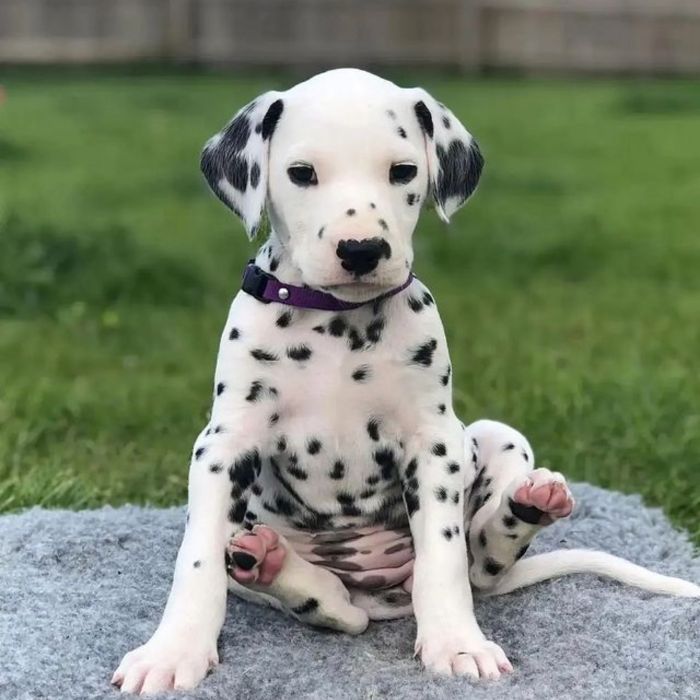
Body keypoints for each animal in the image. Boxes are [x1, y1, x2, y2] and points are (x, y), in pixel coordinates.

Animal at [112, 68, 696, 692]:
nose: (361, 249)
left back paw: (530, 504)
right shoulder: (223, 446)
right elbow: (198, 560)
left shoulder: (432, 444)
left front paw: (456, 643)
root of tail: (377, 592)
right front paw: (173, 651)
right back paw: (271, 565)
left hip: (493, 435)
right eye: (301, 173)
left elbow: (444, 559)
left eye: (402, 171)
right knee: (329, 605)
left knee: (479, 561)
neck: (337, 323)